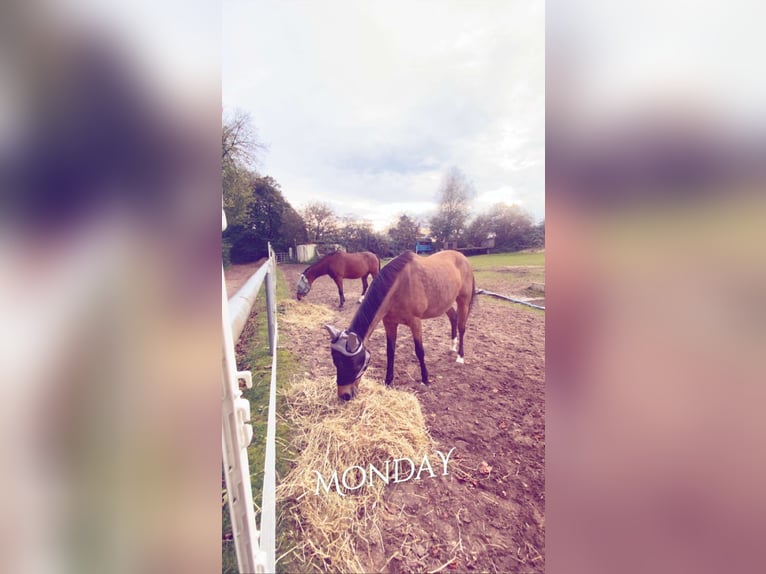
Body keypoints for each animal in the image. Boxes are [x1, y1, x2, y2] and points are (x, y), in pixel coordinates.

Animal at [322, 250, 474, 402]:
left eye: (355, 364)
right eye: (336, 362)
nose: (344, 395)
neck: (400, 285)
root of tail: (462, 257)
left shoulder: (415, 322)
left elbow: (419, 351)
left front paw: (425, 380)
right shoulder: (389, 323)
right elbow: (390, 351)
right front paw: (388, 381)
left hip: (463, 301)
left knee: (461, 327)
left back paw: (460, 356)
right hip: (445, 303)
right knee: (453, 318)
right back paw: (452, 346)